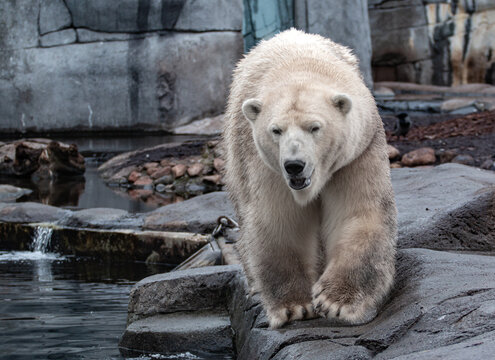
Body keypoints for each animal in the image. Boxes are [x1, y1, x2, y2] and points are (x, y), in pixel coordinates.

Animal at [223, 29, 398, 330]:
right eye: (276, 130)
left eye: (314, 127)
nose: (294, 166)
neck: (299, 67)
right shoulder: (265, 165)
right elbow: (280, 221)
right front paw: (296, 306)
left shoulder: (357, 153)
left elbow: (358, 213)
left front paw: (338, 301)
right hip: (236, 159)